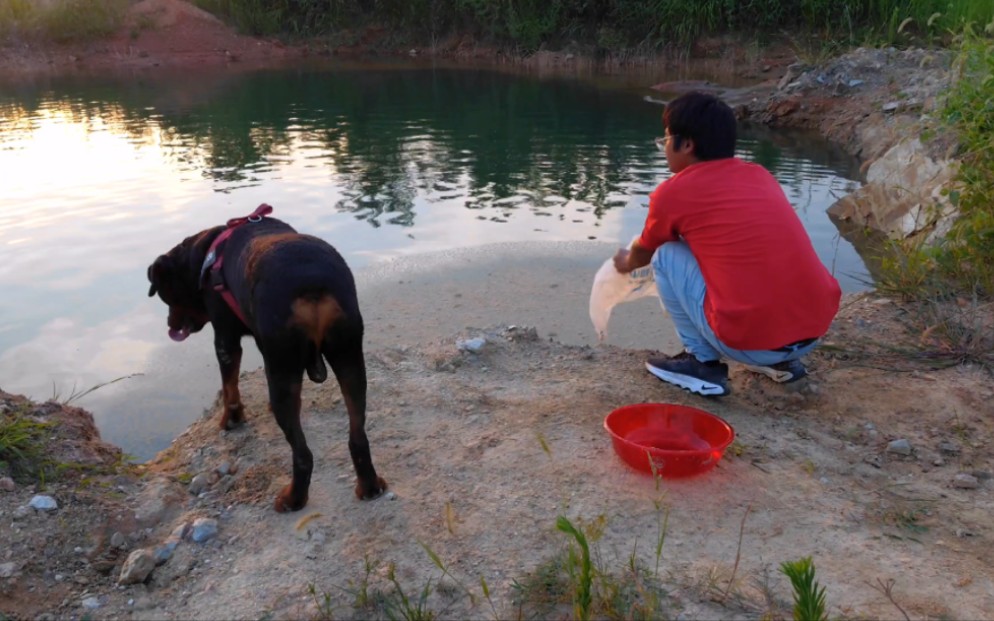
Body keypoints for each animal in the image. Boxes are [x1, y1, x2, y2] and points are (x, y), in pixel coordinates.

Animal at [147, 206, 388, 512]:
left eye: (165, 296)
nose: (170, 325)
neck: (204, 257)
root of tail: (311, 283)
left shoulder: (225, 337)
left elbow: (230, 387)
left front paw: (231, 419)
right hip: (349, 357)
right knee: (358, 436)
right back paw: (369, 486)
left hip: (286, 364)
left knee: (303, 454)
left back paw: (293, 499)